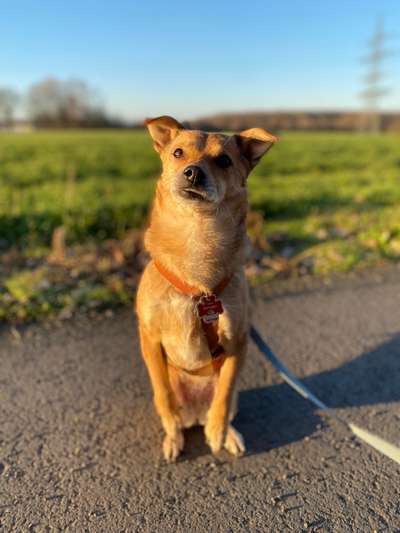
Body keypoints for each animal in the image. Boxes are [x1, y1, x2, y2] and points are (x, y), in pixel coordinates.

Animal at [136, 114, 276, 460]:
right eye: (178, 153)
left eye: (224, 160)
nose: (193, 172)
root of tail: (196, 413)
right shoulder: (149, 337)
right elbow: (161, 390)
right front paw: (172, 422)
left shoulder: (238, 341)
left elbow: (224, 394)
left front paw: (218, 432)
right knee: (173, 413)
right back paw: (174, 436)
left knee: (223, 403)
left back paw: (225, 432)